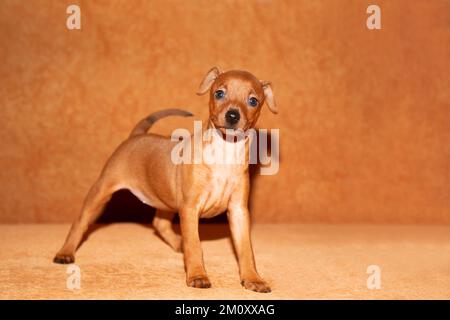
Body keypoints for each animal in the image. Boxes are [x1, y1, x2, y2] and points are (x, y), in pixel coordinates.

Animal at [54, 67, 276, 292]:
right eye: (219, 93)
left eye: (253, 101)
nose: (232, 115)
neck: (224, 152)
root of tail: (136, 136)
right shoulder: (189, 208)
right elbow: (195, 245)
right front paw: (197, 275)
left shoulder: (238, 211)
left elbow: (246, 249)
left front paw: (253, 278)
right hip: (102, 190)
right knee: (80, 222)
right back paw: (65, 252)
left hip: (166, 200)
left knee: (159, 223)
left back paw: (179, 243)